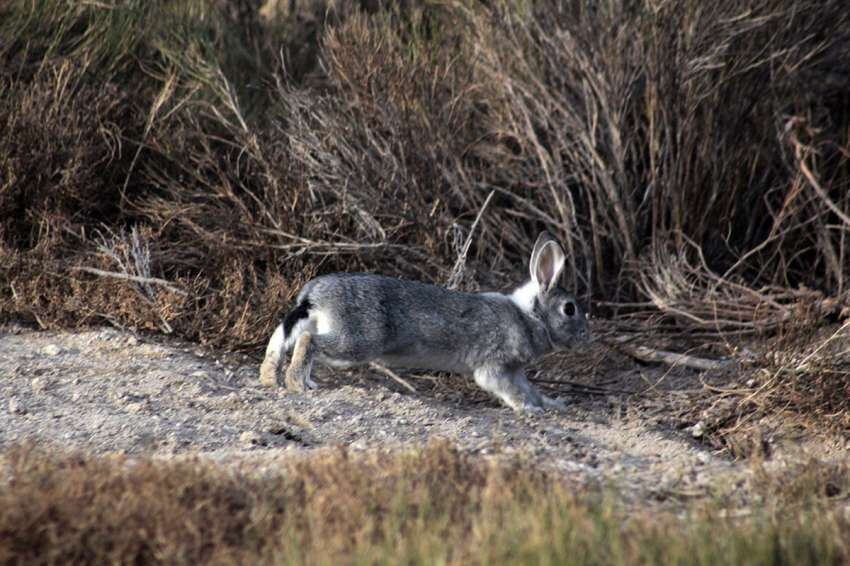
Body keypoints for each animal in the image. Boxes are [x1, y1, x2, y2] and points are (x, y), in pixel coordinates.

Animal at [258, 233, 588, 414]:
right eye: (569, 309)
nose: (587, 337)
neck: (528, 316)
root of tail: (315, 294)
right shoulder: (495, 366)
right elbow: (507, 388)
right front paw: (529, 409)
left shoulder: (516, 371)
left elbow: (531, 388)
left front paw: (552, 404)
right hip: (356, 342)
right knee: (308, 341)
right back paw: (297, 384)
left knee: (287, 336)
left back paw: (273, 378)